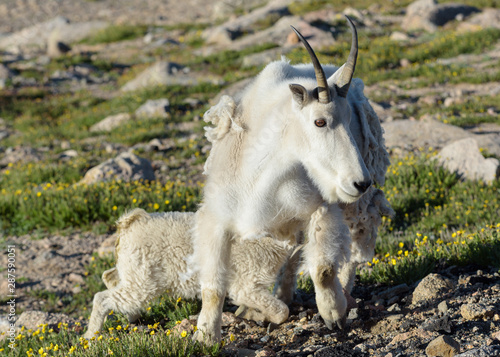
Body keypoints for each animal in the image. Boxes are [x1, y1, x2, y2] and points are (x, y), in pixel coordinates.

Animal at [84, 209, 298, 340]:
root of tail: (128, 224)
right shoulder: (246, 284)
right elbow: (281, 311)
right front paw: (252, 314)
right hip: (142, 280)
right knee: (102, 298)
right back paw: (91, 336)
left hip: (133, 270)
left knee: (109, 277)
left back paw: (131, 316)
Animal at [193, 17, 388, 342]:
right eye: (319, 121)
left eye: (350, 120)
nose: (360, 182)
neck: (256, 176)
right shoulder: (219, 221)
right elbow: (214, 288)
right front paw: (206, 337)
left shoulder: (319, 207)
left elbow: (323, 268)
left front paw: (333, 314)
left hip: (351, 205)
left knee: (353, 248)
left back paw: (345, 296)